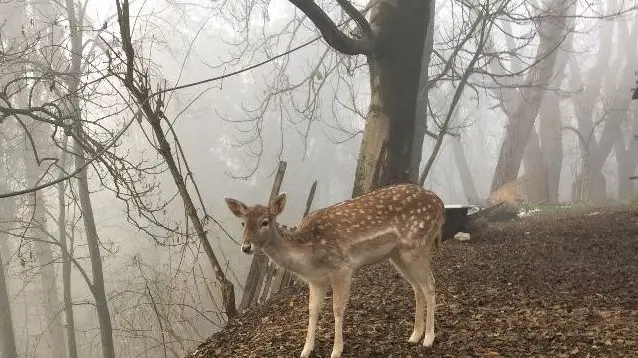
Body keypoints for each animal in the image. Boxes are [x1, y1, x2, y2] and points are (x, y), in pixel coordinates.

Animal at [225, 183, 444, 356]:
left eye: (265, 222)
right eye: (243, 223)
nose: (246, 247)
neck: (309, 257)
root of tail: (441, 205)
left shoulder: (343, 267)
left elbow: (337, 308)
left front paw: (336, 350)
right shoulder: (316, 280)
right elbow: (312, 310)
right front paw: (306, 350)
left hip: (417, 246)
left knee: (430, 285)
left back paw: (428, 339)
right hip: (397, 255)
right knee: (417, 287)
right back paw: (414, 335)